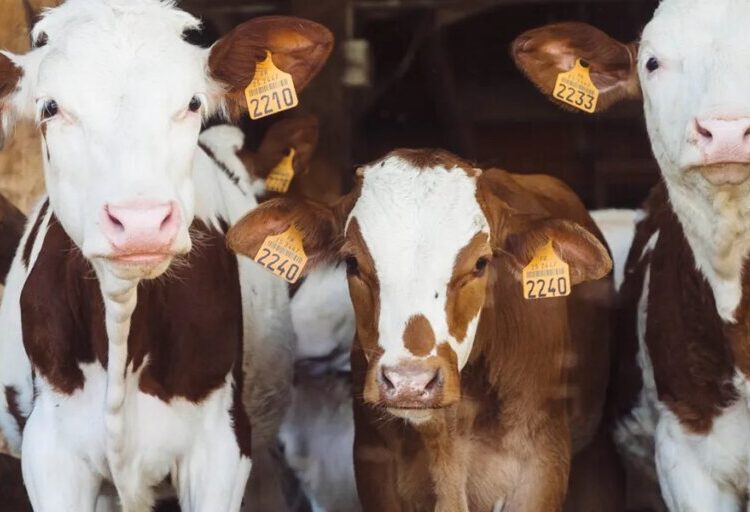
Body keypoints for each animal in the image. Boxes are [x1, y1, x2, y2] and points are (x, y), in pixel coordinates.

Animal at [227, 147, 621, 511]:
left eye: (480, 263)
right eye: (351, 262)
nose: (409, 383)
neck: (447, 435)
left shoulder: (542, 467)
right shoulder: (374, 465)